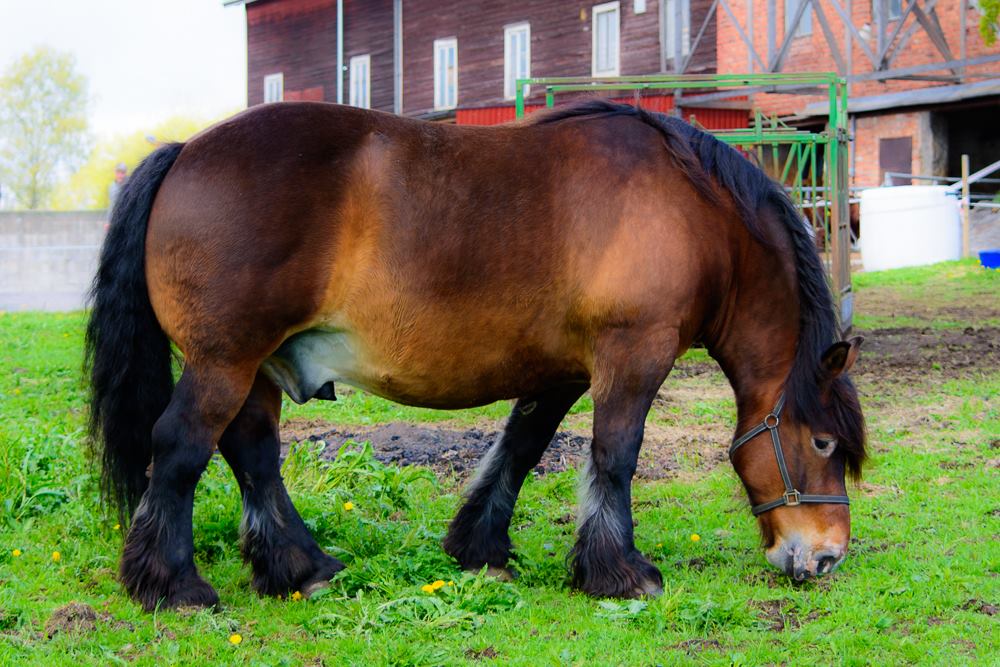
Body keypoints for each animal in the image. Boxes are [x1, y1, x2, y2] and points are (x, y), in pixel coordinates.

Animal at [88, 99, 868, 612]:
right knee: (182, 446)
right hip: (225, 361)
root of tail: (185, 150)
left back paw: (299, 566)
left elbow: (521, 449)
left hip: (254, 368)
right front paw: (620, 571)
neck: (692, 211)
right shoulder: (632, 356)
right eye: (823, 442)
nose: (829, 556)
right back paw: (175, 585)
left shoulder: (559, 371)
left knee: (252, 454)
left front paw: (480, 547)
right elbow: (614, 456)